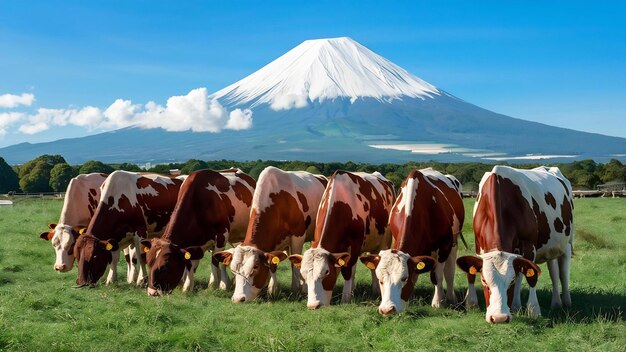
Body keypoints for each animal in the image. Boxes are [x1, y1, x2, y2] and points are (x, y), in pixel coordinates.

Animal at [212, 167, 326, 302]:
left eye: (255, 267)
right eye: (233, 270)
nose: (238, 299)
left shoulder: (298, 236)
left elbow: (294, 265)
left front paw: (294, 291)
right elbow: (273, 264)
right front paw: (272, 290)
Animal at [286, 170, 392, 308]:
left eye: (326, 272)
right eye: (303, 275)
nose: (313, 305)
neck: (342, 204)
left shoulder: (355, 244)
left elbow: (347, 270)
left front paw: (345, 299)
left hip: (385, 242)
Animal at [356, 167, 464, 314]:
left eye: (403, 278)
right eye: (380, 280)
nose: (387, 309)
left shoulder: (444, 247)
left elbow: (437, 275)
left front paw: (437, 302)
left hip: (454, 242)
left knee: (449, 271)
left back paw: (450, 297)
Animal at [454, 166, 572, 324]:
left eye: (510, 282)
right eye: (484, 280)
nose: (499, 318)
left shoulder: (529, 245)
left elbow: (530, 277)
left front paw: (533, 310)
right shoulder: (479, 243)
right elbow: (471, 273)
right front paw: (471, 303)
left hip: (567, 242)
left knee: (563, 271)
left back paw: (565, 300)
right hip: (551, 247)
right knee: (553, 271)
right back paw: (554, 302)